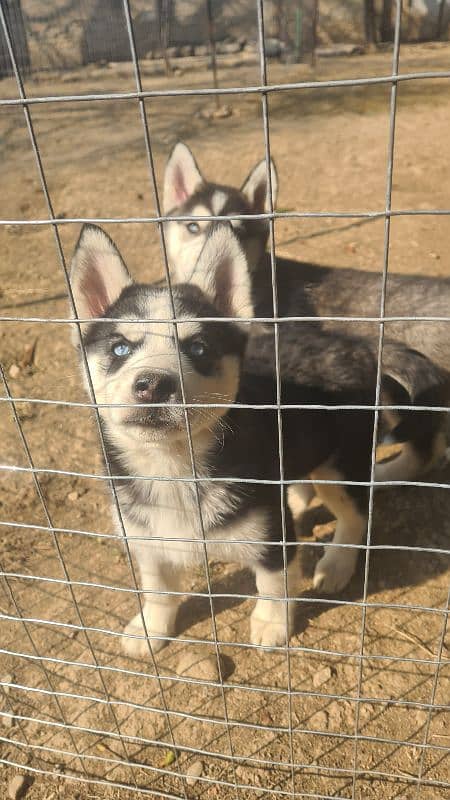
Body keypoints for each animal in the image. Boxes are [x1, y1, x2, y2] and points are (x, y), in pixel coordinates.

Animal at [69, 222, 436, 652]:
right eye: (120, 348)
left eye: (199, 348)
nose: (153, 385)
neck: (174, 467)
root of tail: (354, 344)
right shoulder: (145, 539)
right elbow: (158, 588)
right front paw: (151, 628)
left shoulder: (271, 537)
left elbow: (273, 585)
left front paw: (272, 624)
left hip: (340, 468)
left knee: (355, 516)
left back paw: (337, 564)